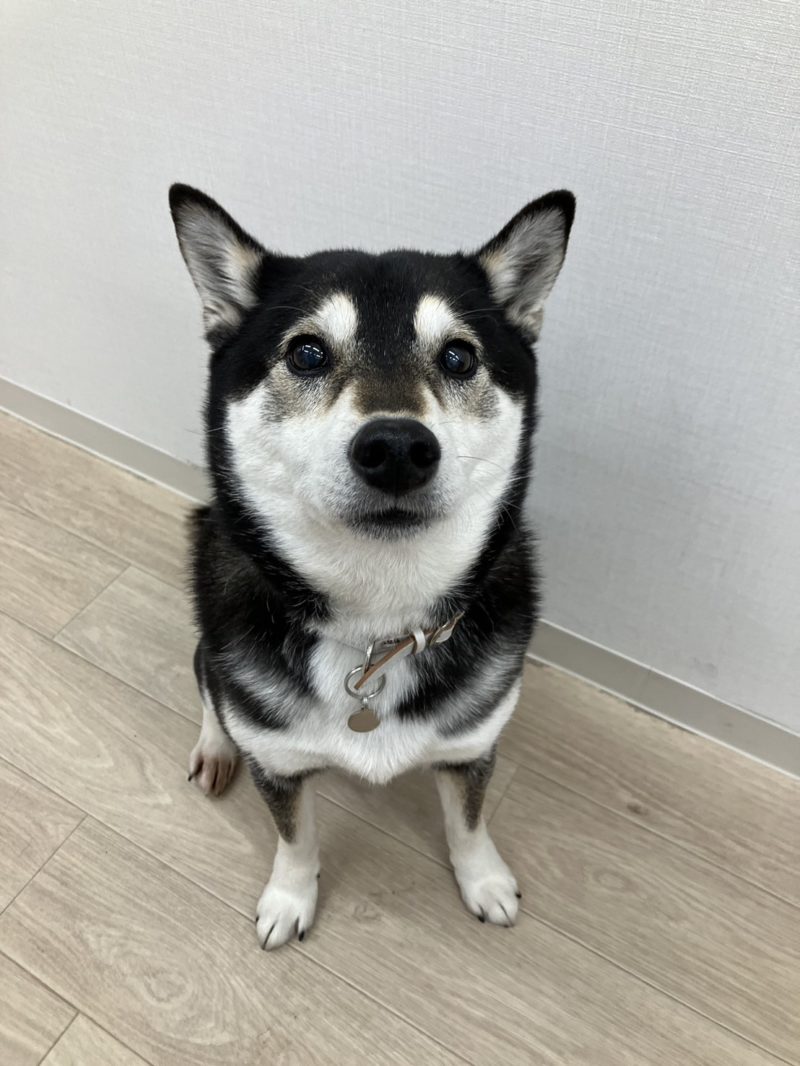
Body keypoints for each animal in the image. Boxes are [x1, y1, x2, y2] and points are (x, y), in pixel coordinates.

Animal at [169, 183, 574, 949]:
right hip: (216, 643)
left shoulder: (471, 743)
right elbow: (295, 838)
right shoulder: (280, 760)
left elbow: (468, 822)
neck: (375, 621)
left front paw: (484, 881)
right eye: (305, 354)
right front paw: (289, 899)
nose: (396, 449)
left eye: (458, 358)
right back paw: (216, 748)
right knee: (209, 683)